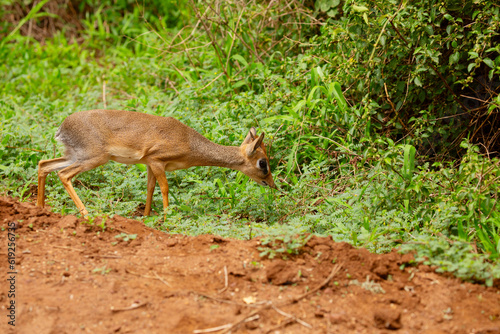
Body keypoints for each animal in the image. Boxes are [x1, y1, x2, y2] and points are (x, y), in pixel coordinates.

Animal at [36, 108, 278, 215]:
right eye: (263, 163)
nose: (273, 185)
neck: (189, 142)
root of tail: (62, 128)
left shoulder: (149, 165)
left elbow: (150, 189)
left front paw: (146, 217)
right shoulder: (158, 161)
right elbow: (165, 188)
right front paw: (168, 216)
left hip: (72, 155)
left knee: (43, 165)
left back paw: (39, 208)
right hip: (93, 158)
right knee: (63, 174)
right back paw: (86, 213)